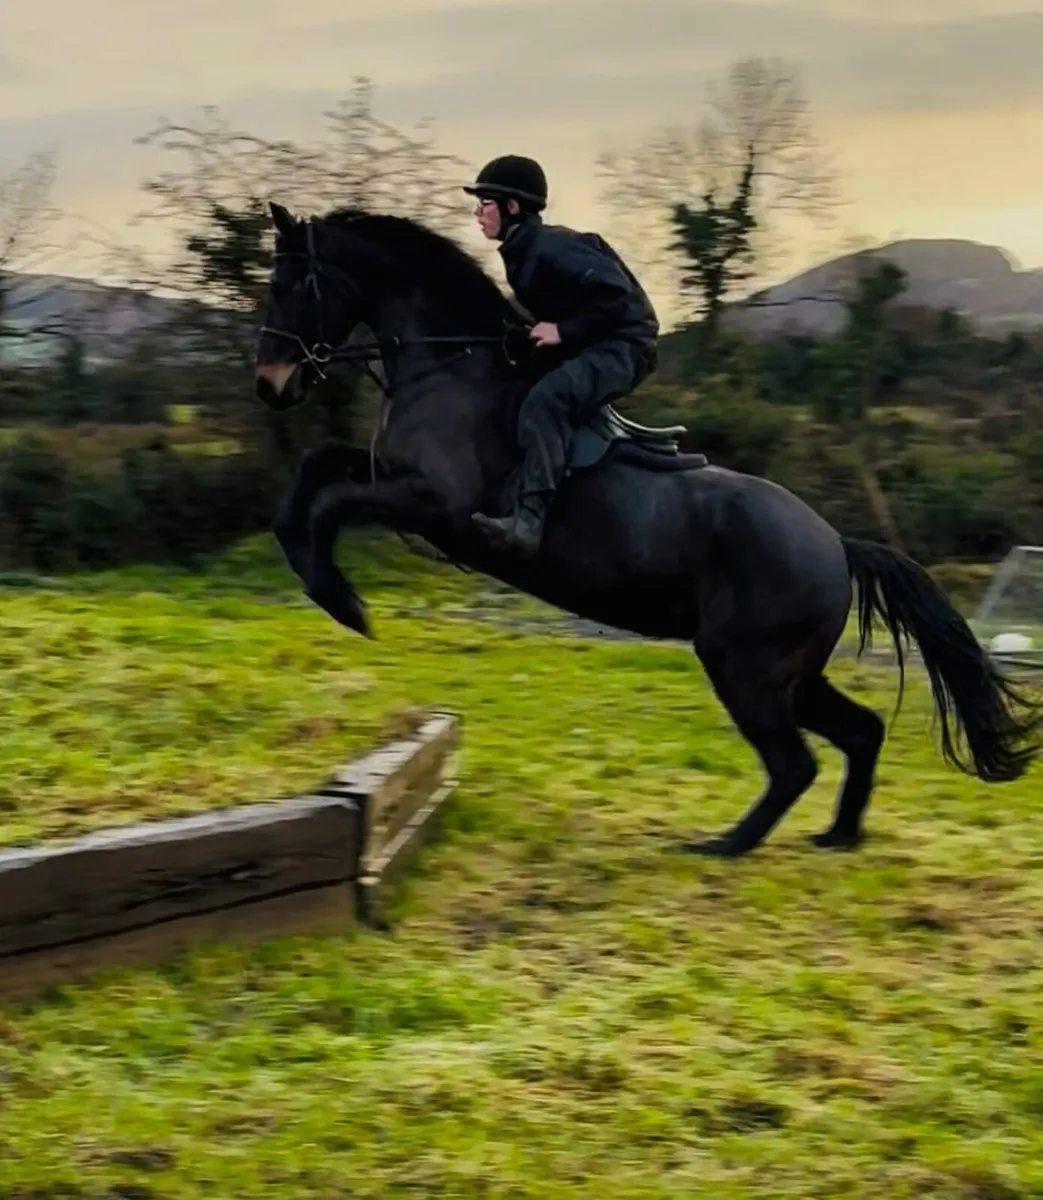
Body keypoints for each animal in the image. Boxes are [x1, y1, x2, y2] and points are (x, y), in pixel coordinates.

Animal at [253, 200, 1041, 858]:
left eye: (291, 283)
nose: (270, 383)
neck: (450, 365)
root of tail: (836, 546)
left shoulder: (431, 505)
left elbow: (333, 503)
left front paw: (341, 602)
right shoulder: (390, 476)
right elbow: (316, 474)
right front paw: (313, 571)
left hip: (743, 666)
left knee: (794, 762)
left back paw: (723, 846)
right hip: (789, 673)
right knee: (858, 733)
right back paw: (836, 837)